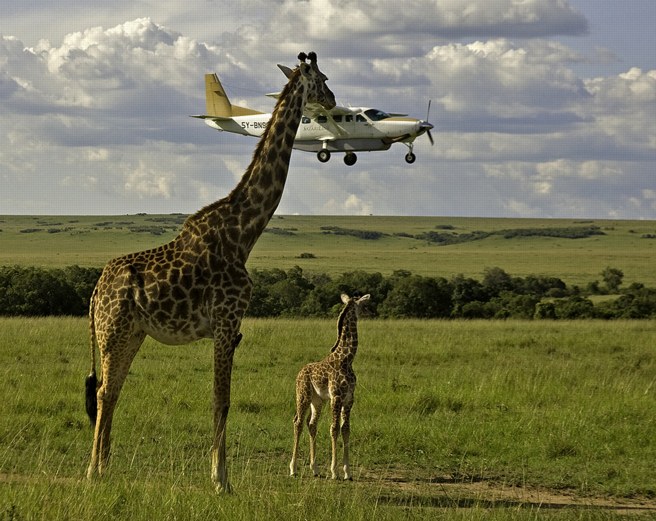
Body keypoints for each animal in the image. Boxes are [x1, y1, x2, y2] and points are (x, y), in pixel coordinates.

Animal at [84, 50, 336, 490]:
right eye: (321, 79)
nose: (334, 99)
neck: (243, 232)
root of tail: (96, 291)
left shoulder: (230, 327)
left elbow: (222, 399)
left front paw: (219, 475)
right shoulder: (225, 320)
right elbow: (222, 399)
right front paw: (221, 480)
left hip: (132, 333)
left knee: (111, 391)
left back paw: (106, 466)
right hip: (111, 331)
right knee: (102, 392)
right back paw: (94, 470)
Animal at [290, 292, 372, 480]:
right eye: (363, 304)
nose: (371, 313)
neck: (346, 359)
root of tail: (299, 373)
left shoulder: (349, 398)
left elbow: (346, 429)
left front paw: (347, 472)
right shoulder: (336, 397)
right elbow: (334, 429)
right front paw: (334, 471)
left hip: (317, 401)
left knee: (311, 424)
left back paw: (314, 469)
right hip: (303, 396)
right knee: (298, 422)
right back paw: (293, 468)